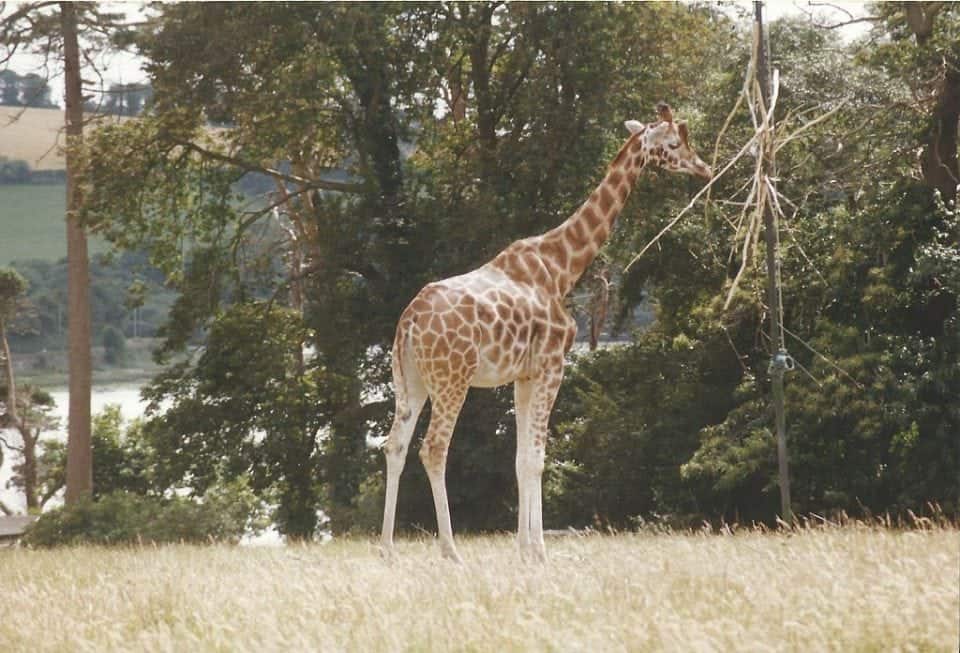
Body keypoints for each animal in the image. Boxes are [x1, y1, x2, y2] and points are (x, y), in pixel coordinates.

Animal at [382, 102, 712, 560]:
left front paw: (525, 547)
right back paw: (451, 551)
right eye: (675, 144)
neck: (562, 267)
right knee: (433, 449)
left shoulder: (524, 374)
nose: (704, 168)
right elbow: (536, 458)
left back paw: (387, 550)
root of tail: (409, 322)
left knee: (393, 446)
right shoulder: (554, 364)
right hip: (452, 380)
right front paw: (539, 550)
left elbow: (521, 459)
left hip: (410, 381)